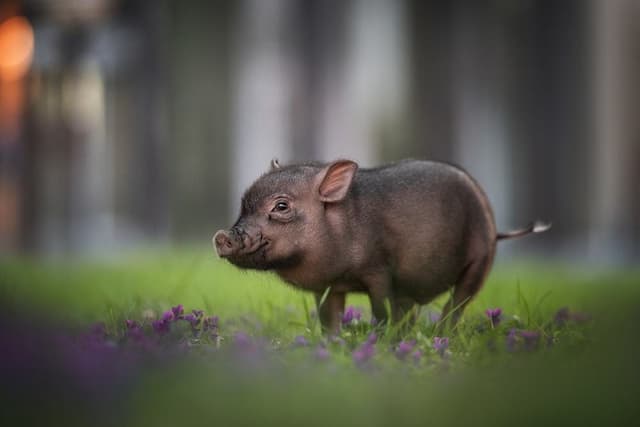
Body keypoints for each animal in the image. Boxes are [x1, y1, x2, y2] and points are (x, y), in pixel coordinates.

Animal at [213, 159, 550, 333]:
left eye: (281, 206)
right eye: (243, 205)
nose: (222, 236)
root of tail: (495, 229)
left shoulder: (378, 269)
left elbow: (380, 307)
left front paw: (382, 340)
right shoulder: (328, 286)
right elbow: (328, 317)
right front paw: (334, 343)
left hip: (480, 258)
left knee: (457, 304)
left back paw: (440, 336)